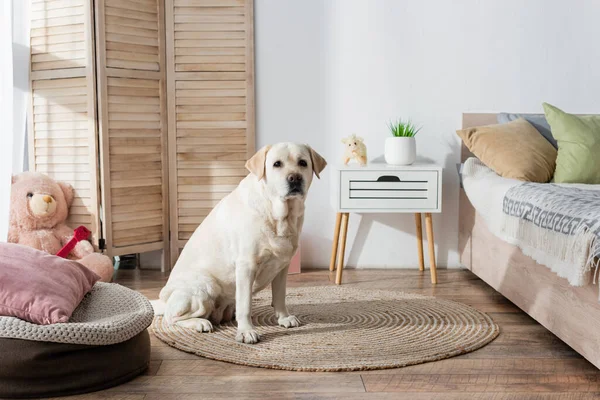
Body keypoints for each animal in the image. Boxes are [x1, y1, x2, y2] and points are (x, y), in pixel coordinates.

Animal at [152, 144, 326, 344]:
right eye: (277, 164)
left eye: (303, 163)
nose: (294, 178)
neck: (278, 215)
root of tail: (164, 300)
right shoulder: (246, 266)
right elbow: (245, 304)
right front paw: (246, 331)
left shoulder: (282, 267)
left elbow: (280, 295)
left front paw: (284, 318)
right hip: (205, 285)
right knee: (171, 317)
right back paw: (200, 323)